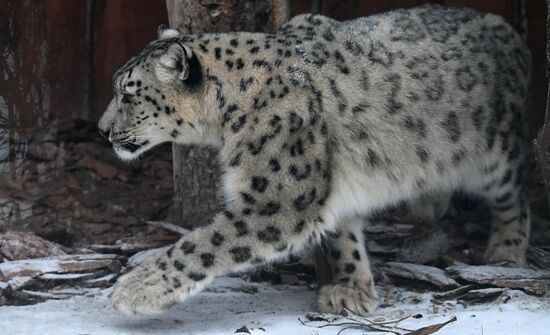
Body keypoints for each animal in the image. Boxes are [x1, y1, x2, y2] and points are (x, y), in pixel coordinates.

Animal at [98, 3, 532, 316]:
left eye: (128, 94)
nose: (102, 130)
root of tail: (508, 29)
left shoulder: (278, 200)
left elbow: (203, 244)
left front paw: (138, 288)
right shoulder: (330, 188)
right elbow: (342, 236)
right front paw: (352, 289)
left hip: (495, 153)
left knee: (515, 195)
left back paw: (506, 250)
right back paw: (429, 203)